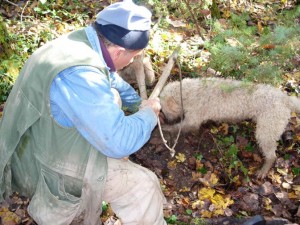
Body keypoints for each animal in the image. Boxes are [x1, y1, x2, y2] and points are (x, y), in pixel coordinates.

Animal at [159, 76, 300, 178]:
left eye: (164, 109)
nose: (166, 118)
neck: (188, 92)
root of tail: (286, 99)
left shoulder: (193, 120)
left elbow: (180, 126)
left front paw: (165, 127)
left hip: (267, 130)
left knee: (272, 156)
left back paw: (264, 170)